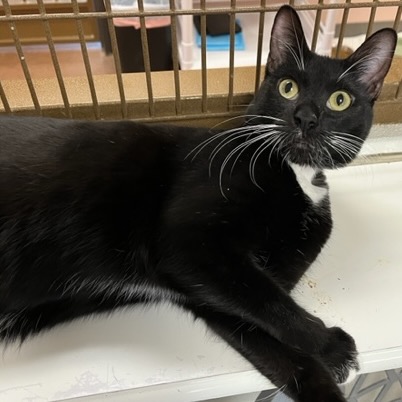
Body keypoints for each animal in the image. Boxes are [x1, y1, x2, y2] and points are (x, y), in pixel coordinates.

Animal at [0, 5, 397, 402]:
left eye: (339, 100)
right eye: (288, 87)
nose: (306, 117)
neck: (296, 174)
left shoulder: (216, 292)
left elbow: (271, 338)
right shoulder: (191, 244)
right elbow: (272, 303)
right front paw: (331, 345)